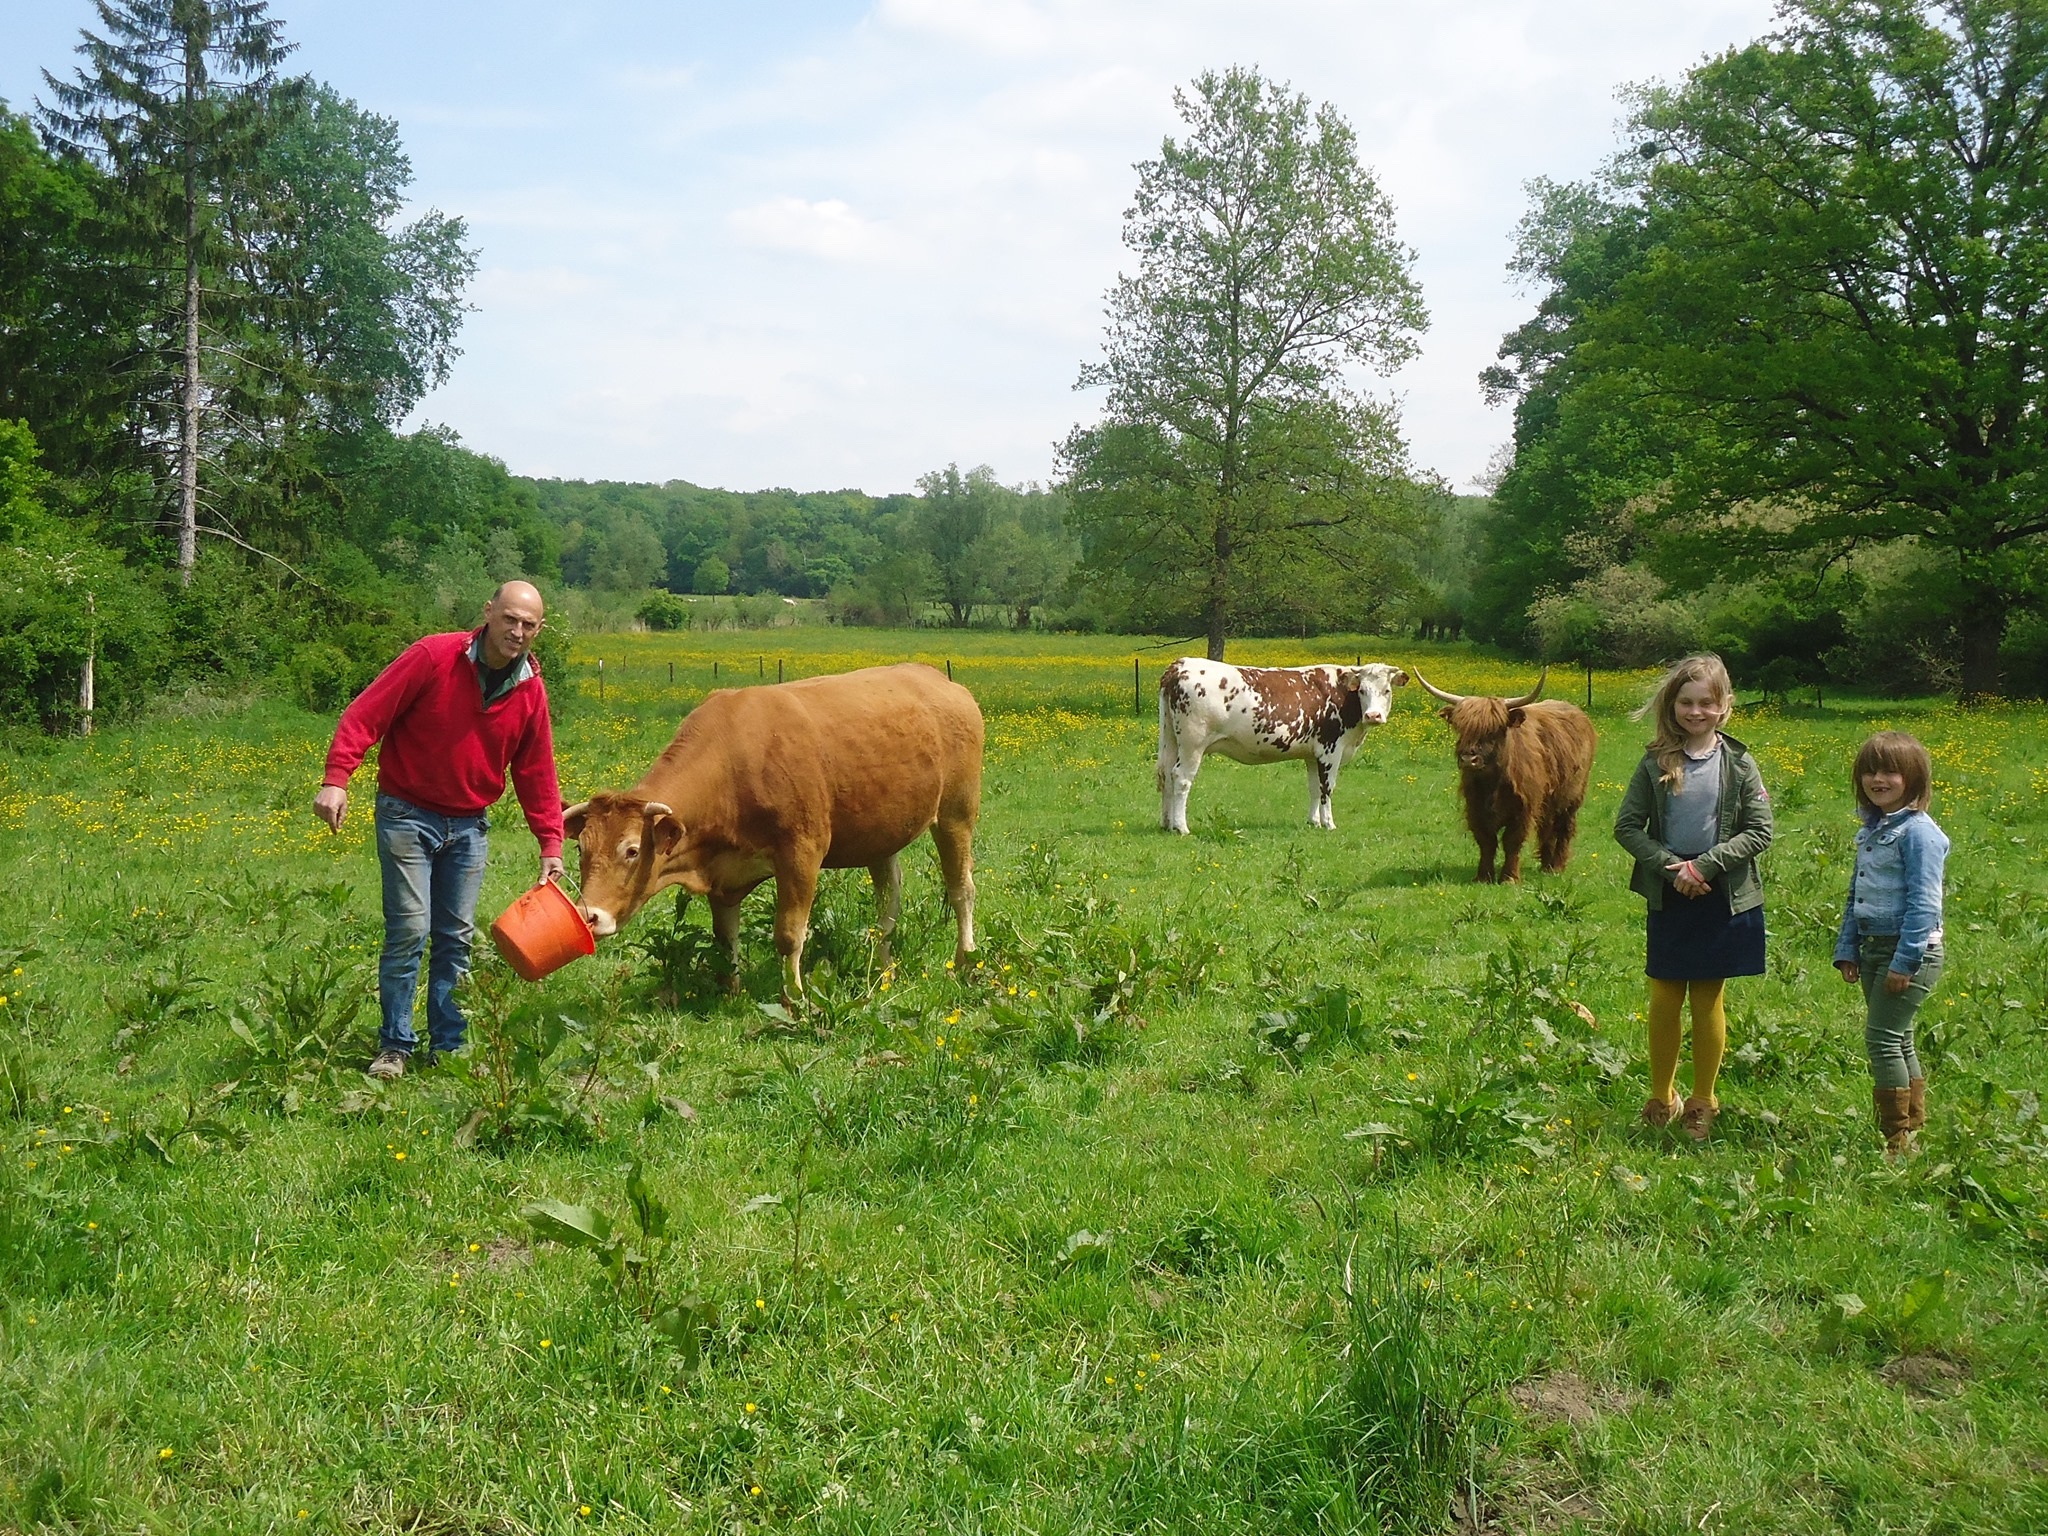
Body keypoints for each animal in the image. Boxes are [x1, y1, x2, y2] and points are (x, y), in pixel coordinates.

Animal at [557, 663, 978, 999]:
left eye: (631, 850)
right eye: (581, 850)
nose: (590, 916)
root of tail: (936, 677)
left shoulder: (802, 853)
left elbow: (789, 935)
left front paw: (794, 998)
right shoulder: (723, 874)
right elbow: (724, 936)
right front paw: (731, 991)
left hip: (956, 813)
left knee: (961, 890)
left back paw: (964, 961)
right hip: (881, 835)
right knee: (888, 903)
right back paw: (883, 971)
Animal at [1155, 659, 1409, 835]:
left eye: (1387, 691)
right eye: (1363, 691)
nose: (1373, 715)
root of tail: (1180, 665)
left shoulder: (1312, 754)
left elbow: (1314, 788)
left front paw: (1313, 822)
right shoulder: (1330, 749)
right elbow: (1327, 788)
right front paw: (1329, 824)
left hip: (1171, 740)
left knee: (1167, 774)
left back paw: (1167, 823)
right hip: (1192, 743)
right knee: (1181, 778)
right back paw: (1181, 827)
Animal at [1409, 667, 1597, 884]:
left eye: (1494, 729)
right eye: (1461, 728)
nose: (1468, 760)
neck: (1492, 783)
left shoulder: (1524, 808)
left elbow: (1512, 841)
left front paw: (1509, 877)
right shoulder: (1475, 808)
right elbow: (1486, 841)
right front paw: (1483, 876)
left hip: (1572, 798)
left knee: (1564, 828)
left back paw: (1556, 867)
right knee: (1547, 828)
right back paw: (1546, 866)